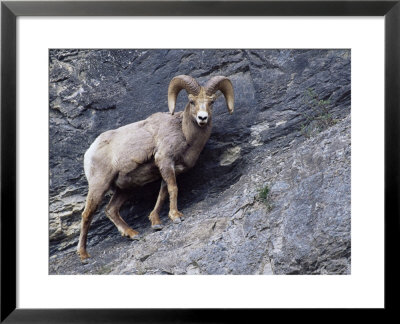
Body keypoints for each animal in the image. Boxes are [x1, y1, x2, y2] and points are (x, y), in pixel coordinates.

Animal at [77, 74, 234, 260]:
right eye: (192, 101)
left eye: (211, 102)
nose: (202, 118)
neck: (184, 134)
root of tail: (90, 151)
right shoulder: (165, 161)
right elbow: (173, 189)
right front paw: (175, 217)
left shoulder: (169, 170)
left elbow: (163, 194)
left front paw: (156, 223)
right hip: (99, 186)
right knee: (87, 214)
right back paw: (84, 255)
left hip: (125, 189)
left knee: (111, 210)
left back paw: (133, 234)